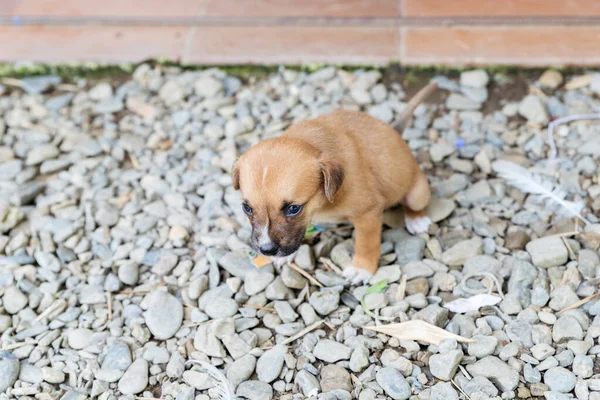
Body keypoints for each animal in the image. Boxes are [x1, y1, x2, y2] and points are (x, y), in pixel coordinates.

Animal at [233, 83, 436, 284]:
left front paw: (362, 269)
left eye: (293, 208)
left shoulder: (368, 213)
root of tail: (396, 132)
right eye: (246, 208)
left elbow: (367, 244)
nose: (267, 250)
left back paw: (416, 219)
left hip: (417, 194)